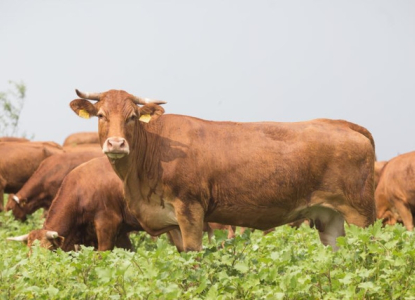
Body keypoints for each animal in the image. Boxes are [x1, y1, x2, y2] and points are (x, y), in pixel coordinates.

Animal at [69, 88, 376, 251]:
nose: (116, 143)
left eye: (132, 117)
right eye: (100, 115)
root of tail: (342, 124)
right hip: (330, 217)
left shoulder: (191, 209)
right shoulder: (172, 222)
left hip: (361, 214)